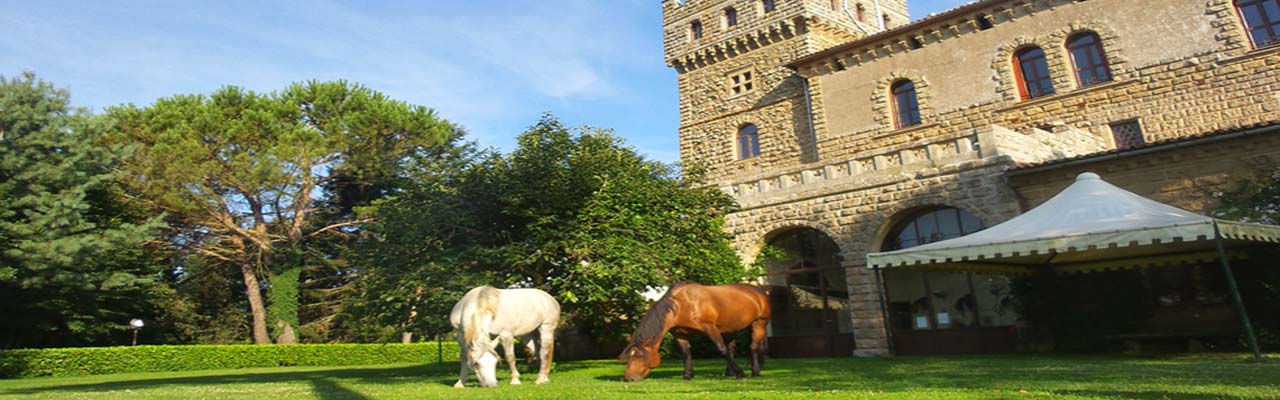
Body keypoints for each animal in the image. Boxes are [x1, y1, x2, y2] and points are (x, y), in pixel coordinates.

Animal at [619, 280, 768, 382]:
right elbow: (686, 354)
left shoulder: (710, 328)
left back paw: (755, 372)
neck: (681, 305)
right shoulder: (680, 334)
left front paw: (741, 373)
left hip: (759, 323)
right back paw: (730, 373)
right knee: (732, 349)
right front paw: (687, 375)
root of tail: (758, 291)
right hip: (731, 329)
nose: (628, 378)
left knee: (753, 347)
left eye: (639, 355)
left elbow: (721, 349)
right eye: (628, 357)